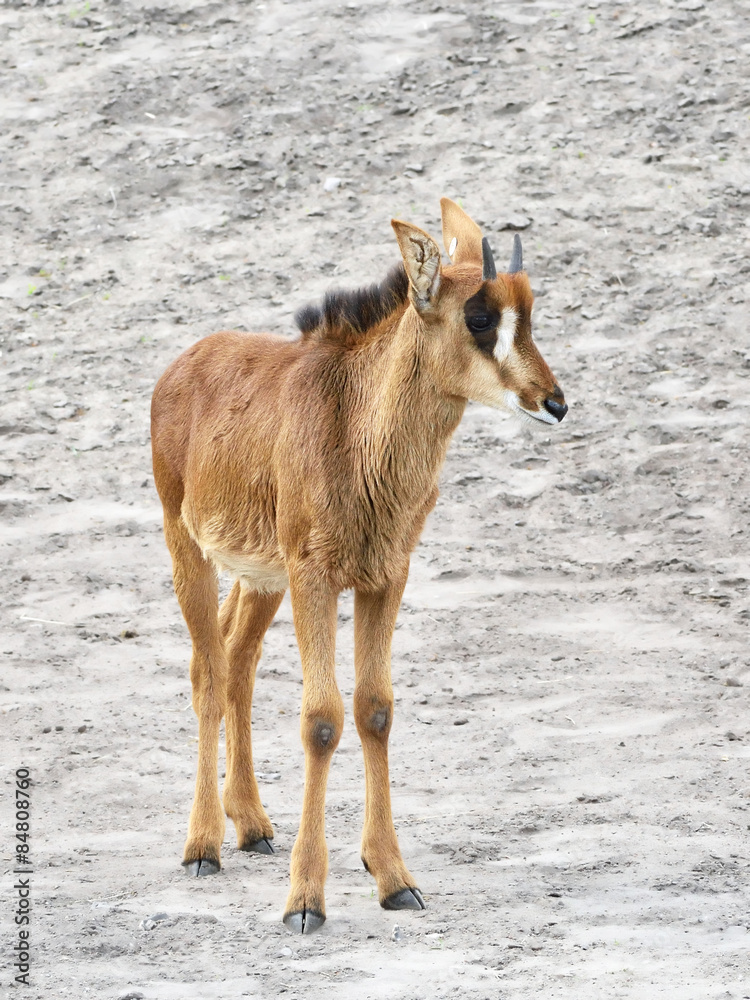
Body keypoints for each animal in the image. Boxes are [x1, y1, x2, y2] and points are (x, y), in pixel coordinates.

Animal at [151, 198, 567, 934]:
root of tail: (181, 366)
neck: (357, 425)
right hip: (190, 548)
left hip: (262, 575)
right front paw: (305, 900)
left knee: (237, 660)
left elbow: (375, 710)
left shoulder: (385, 577)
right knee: (208, 670)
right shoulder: (316, 576)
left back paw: (250, 824)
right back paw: (203, 846)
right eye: (479, 318)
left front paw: (393, 878)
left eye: (529, 311)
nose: (554, 402)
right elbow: (321, 719)